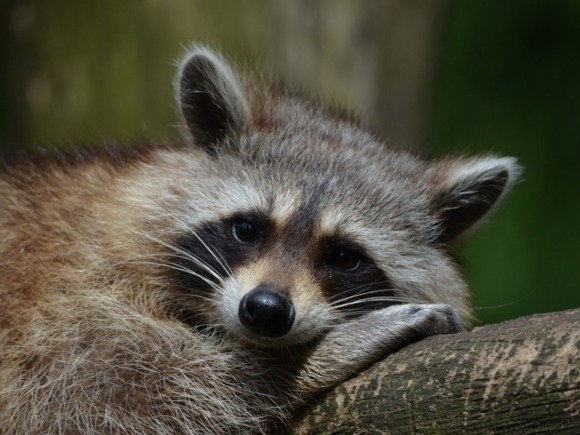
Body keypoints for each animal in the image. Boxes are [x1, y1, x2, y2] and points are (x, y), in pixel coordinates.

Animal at [0, 46, 516, 434]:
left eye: (344, 257)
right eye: (247, 229)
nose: (266, 310)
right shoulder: (65, 301)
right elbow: (117, 396)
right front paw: (314, 358)